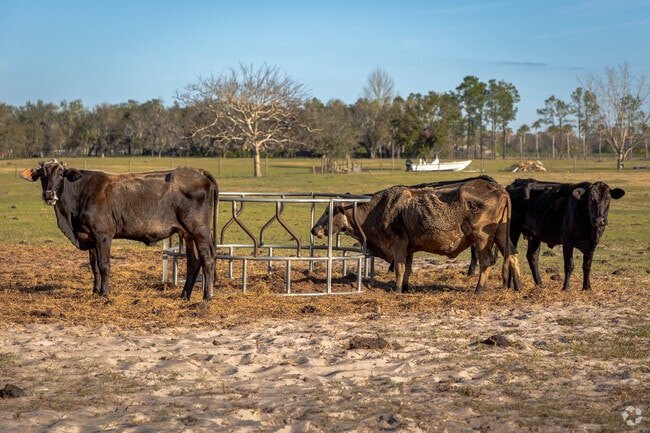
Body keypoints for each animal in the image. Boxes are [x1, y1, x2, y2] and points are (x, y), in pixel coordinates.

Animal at [21, 159, 218, 300]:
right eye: (42, 174)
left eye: (61, 173)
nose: (48, 194)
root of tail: (199, 171)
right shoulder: (90, 236)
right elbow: (94, 266)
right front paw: (95, 291)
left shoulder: (103, 235)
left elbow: (104, 265)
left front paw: (104, 292)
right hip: (187, 233)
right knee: (194, 262)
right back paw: (184, 295)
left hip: (199, 230)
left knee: (207, 258)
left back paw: (207, 296)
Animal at [311, 178, 522, 294]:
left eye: (329, 211)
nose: (314, 230)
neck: (380, 210)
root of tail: (500, 190)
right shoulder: (409, 247)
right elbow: (408, 269)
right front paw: (405, 287)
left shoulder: (398, 243)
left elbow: (399, 268)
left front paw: (397, 289)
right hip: (501, 234)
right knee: (512, 255)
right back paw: (518, 286)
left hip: (482, 238)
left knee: (487, 261)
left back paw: (478, 289)